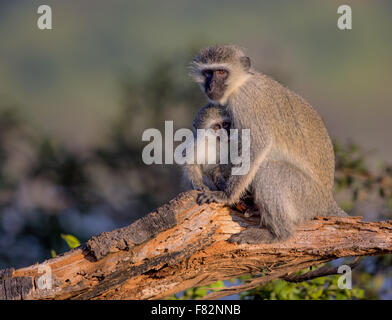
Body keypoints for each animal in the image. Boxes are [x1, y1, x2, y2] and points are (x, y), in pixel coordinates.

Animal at [190, 44, 346, 245]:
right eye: (208, 73)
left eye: (222, 72)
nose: (211, 86)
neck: (241, 84)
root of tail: (327, 200)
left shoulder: (245, 104)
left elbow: (256, 147)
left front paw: (226, 196)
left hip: (306, 197)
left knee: (268, 169)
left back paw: (277, 234)